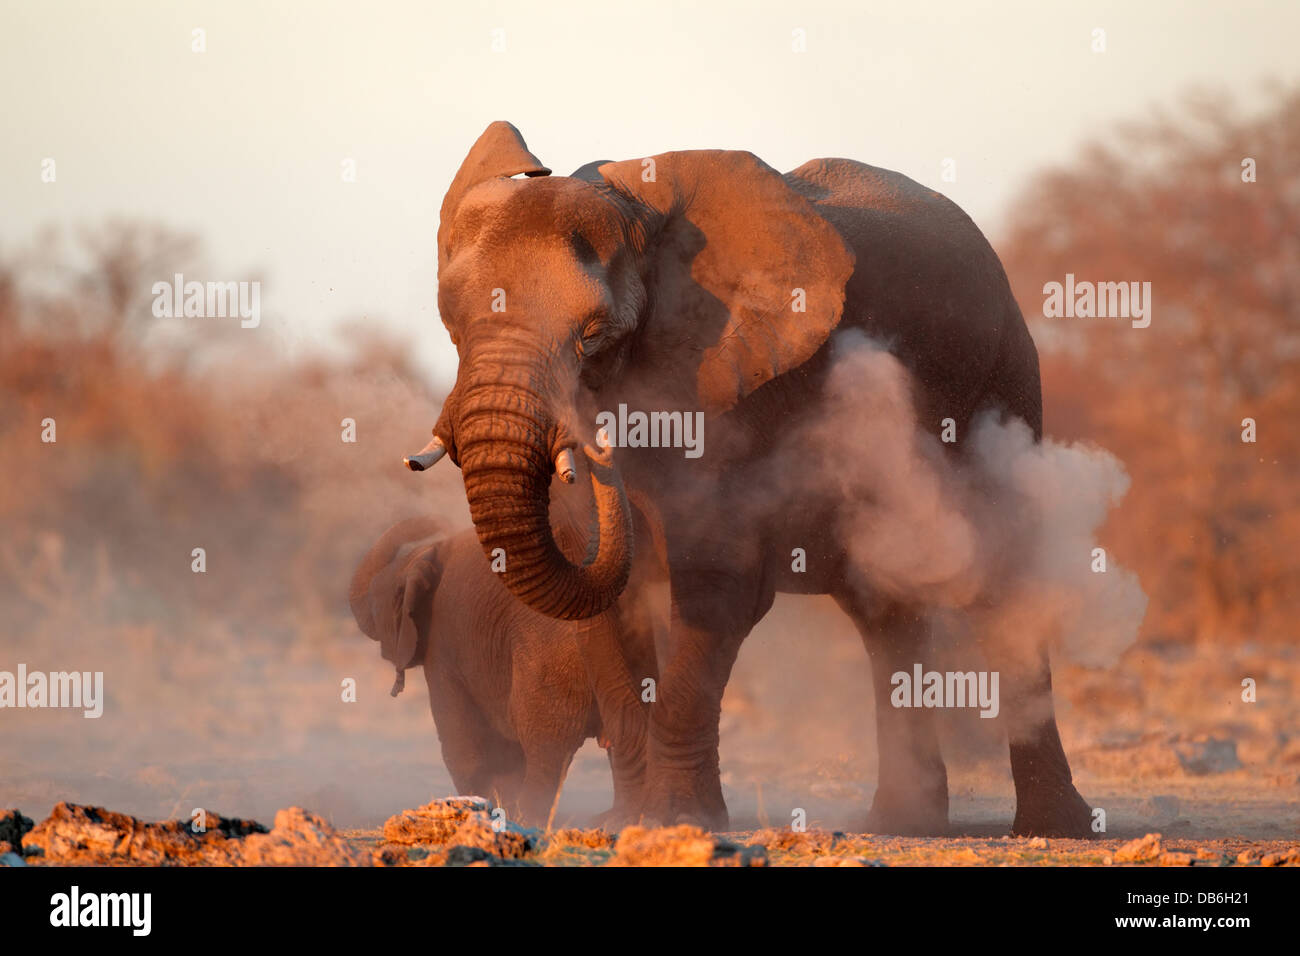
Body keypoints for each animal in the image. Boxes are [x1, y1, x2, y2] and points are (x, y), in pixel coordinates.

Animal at [345, 468, 660, 827]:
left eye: (376, 602)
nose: (437, 520)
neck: (424, 556)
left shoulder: (444, 644)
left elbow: (462, 742)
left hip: (548, 663)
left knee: (544, 746)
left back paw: (532, 819)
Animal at [408, 119, 1097, 837]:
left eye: (595, 336)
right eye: (452, 324)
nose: (598, 447)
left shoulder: (735, 387)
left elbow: (718, 588)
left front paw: (678, 820)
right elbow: (606, 603)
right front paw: (624, 821)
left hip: (1006, 381)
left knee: (1006, 584)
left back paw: (1053, 828)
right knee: (884, 610)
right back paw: (902, 822)